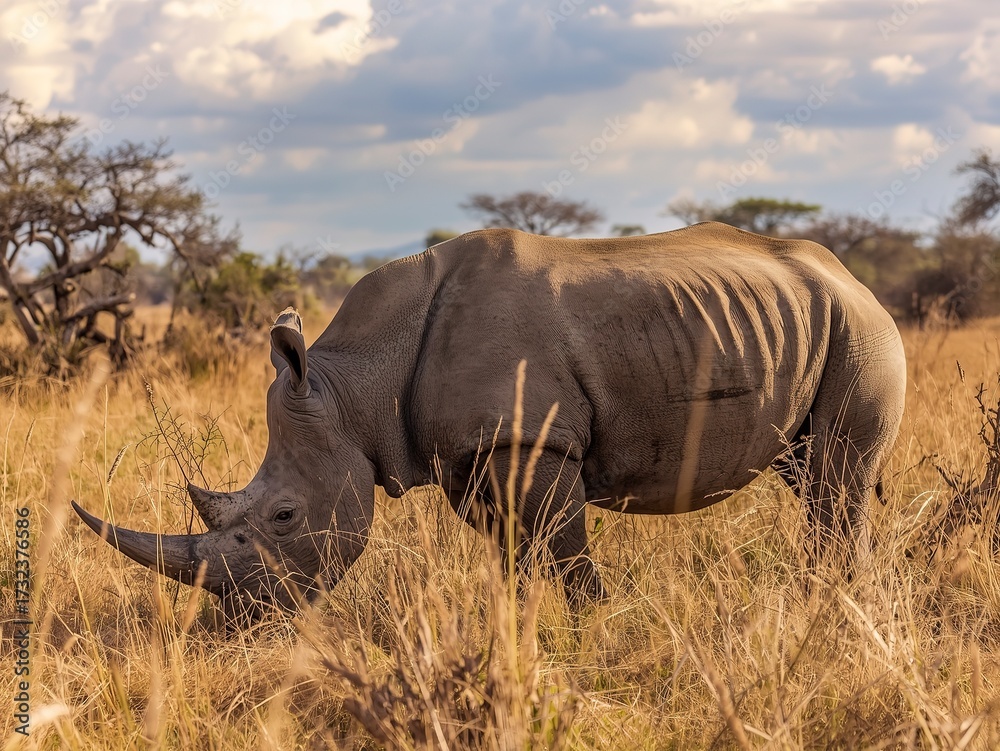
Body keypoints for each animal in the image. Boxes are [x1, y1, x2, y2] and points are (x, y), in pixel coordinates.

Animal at [74, 222, 906, 620]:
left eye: (283, 516)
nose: (241, 622)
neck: (354, 383)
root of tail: (851, 276)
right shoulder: (470, 455)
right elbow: (519, 556)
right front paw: (524, 629)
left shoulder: (533, 440)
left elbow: (567, 556)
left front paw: (592, 634)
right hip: (805, 321)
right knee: (810, 475)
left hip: (862, 332)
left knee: (836, 480)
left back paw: (831, 605)